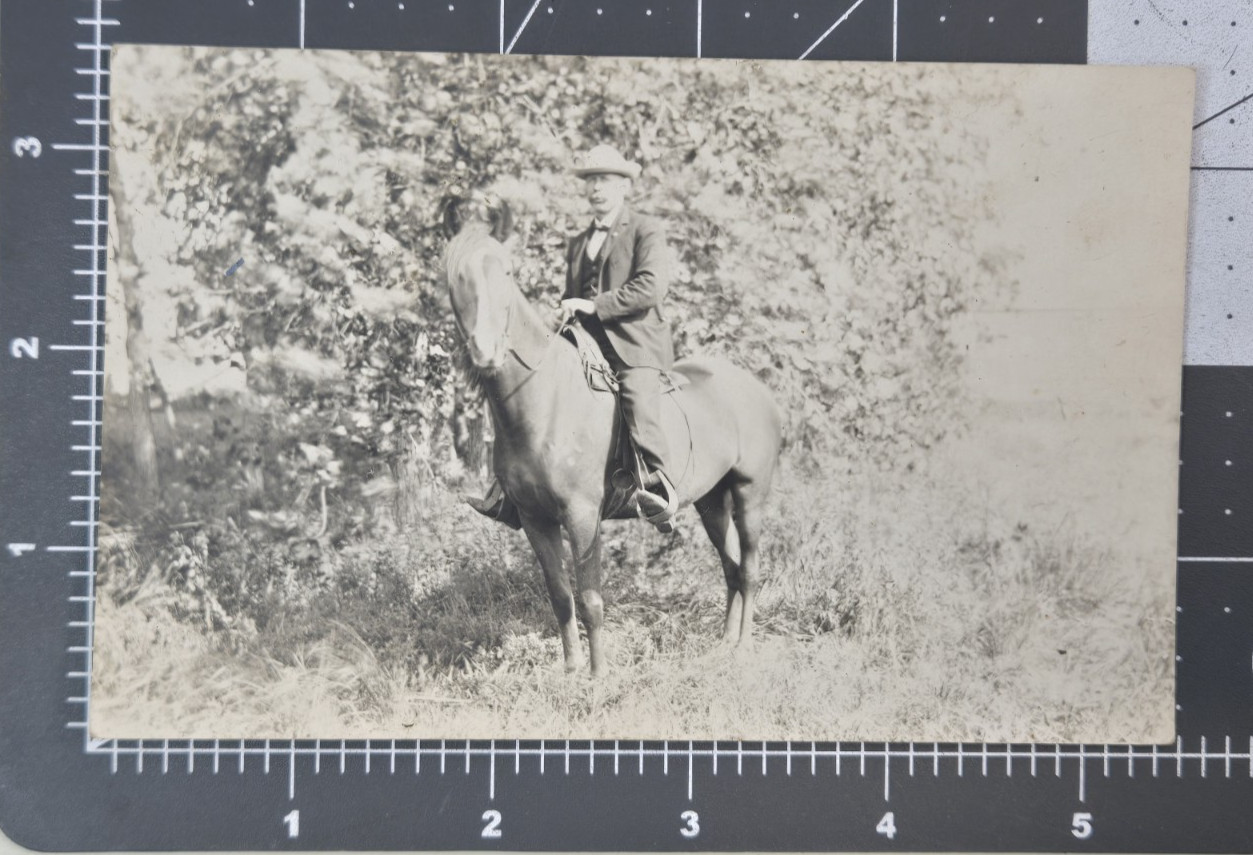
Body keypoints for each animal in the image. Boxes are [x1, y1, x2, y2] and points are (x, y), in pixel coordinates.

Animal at [442, 205, 783, 675]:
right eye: (456, 276)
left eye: (507, 272)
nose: (486, 351)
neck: (543, 399)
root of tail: (758, 389)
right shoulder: (535, 519)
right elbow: (560, 596)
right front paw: (570, 672)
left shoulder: (583, 516)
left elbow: (590, 600)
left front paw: (598, 675)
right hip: (712, 502)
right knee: (731, 567)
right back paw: (724, 646)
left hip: (750, 495)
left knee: (748, 569)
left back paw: (745, 648)